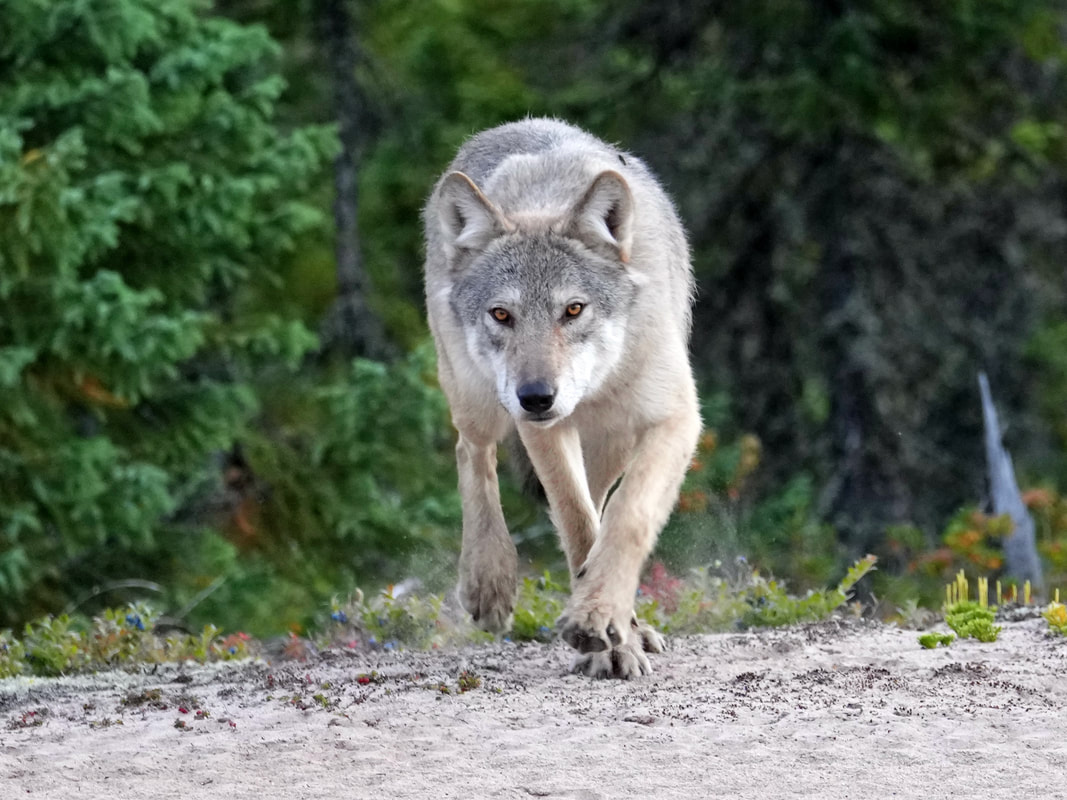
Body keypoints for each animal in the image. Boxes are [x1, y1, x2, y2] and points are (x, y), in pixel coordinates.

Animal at [423, 118, 701, 679]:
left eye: (573, 309)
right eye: (502, 314)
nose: (535, 397)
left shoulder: (675, 419)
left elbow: (626, 518)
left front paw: (603, 618)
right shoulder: (544, 430)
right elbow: (577, 520)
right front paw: (607, 638)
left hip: (612, 442)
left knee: (599, 498)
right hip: (477, 398)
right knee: (473, 453)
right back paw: (489, 583)